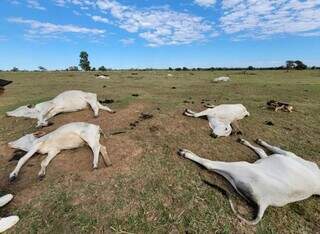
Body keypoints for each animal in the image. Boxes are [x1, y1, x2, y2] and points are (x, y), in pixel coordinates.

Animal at [178, 139, 320, 225]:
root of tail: (265, 202)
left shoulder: (287, 154)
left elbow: (272, 148)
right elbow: (262, 151)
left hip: (241, 166)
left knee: (209, 164)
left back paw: (186, 153)